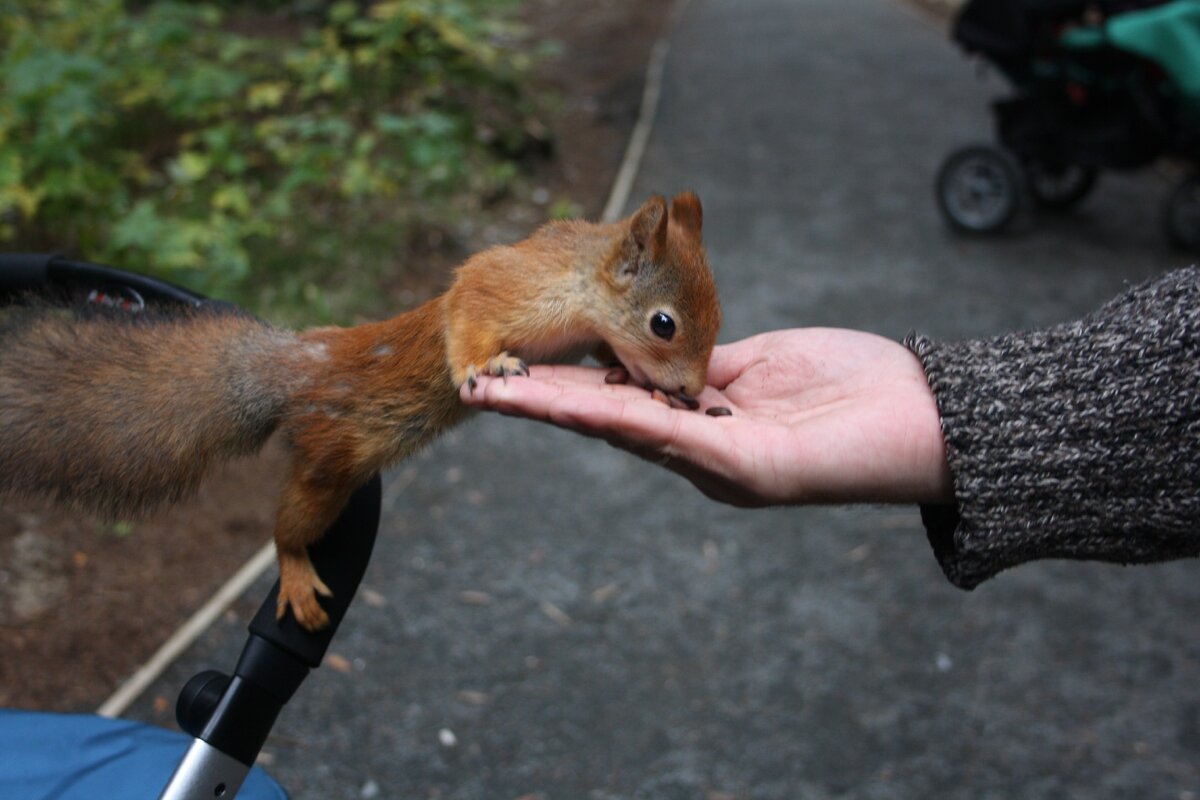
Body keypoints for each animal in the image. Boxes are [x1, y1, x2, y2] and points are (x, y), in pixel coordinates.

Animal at [0, 190, 720, 628]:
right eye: (663, 323)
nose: (690, 392)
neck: (580, 288)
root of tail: (299, 370)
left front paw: (636, 378)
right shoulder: (507, 284)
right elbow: (468, 305)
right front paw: (480, 366)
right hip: (328, 465)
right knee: (289, 527)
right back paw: (294, 572)